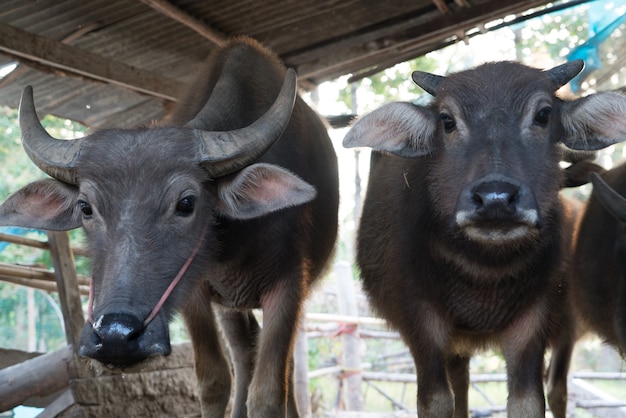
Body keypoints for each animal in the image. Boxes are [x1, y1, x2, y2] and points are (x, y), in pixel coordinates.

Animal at [0, 36, 338, 418]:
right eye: (85, 207)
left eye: (187, 203)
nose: (115, 336)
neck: (232, 249)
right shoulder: (196, 293)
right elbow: (213, 380)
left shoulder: (289, 286)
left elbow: (268, 394)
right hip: (230, 307)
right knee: (243, 354)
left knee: (282, 368)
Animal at [342, 59, 624, 418]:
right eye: (447, 121)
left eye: (543, 115)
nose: (495, 199)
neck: (484, 275)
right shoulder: (419, 321)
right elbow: (435, 402)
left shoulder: (536, 320)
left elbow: (528, 402)